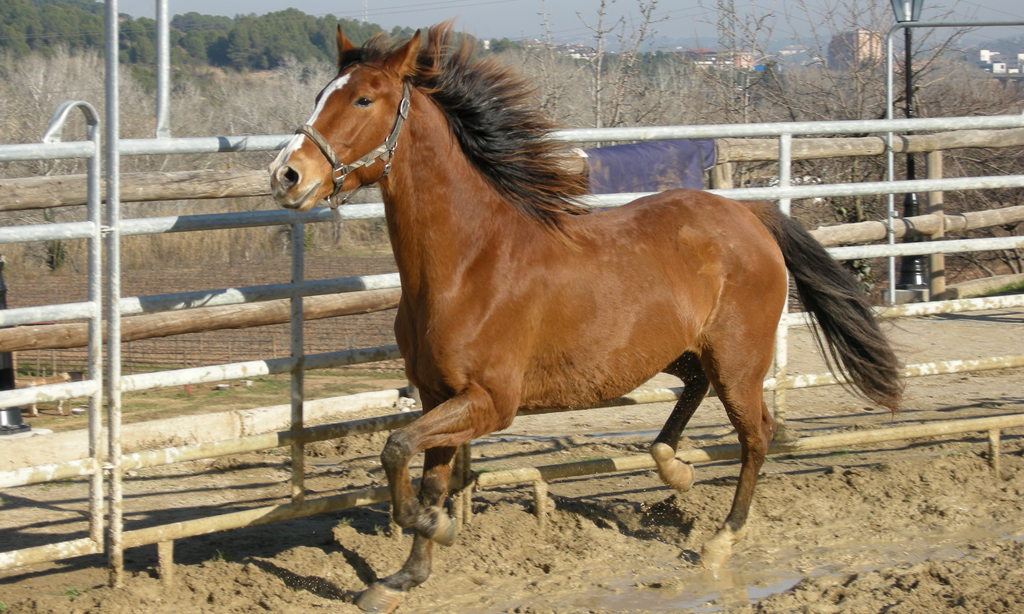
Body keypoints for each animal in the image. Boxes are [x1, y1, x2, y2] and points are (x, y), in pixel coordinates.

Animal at [269, 23, 903, 613]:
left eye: (363, 100)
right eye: (322, 93)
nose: (286, 175)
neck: (469, 262)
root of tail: (750, 217)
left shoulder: (491, 402)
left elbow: (397, 452)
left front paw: (438, 532)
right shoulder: (438, 395)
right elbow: (427, 478)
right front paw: (404, 578)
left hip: (739, 361)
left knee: (757, 435)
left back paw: (720, 540)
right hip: (677, 352)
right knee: (694, 391)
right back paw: (673, 468)